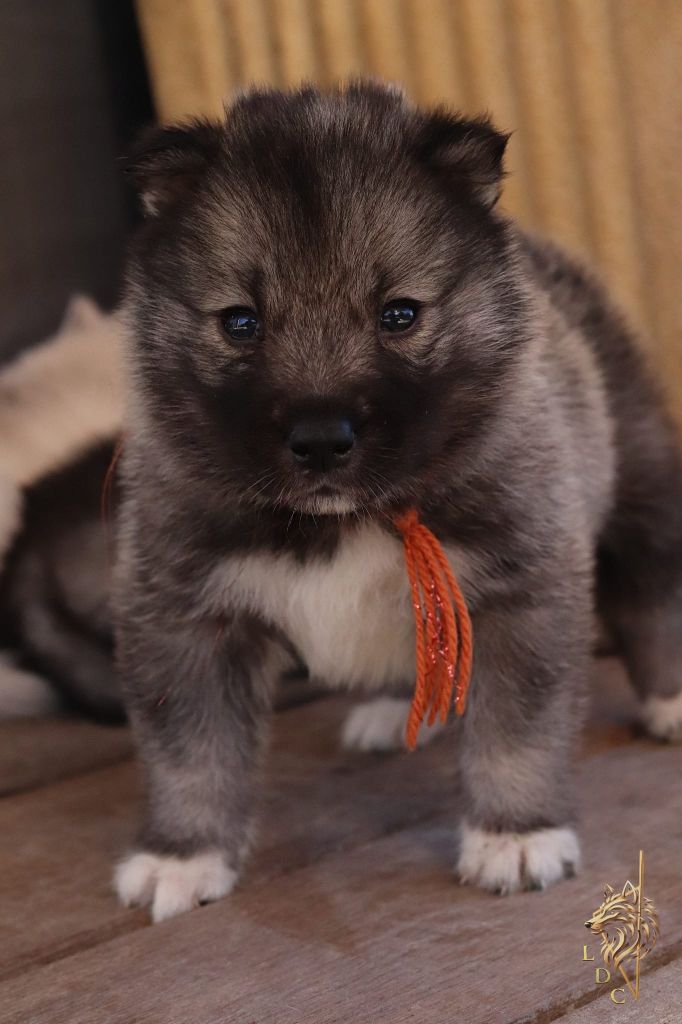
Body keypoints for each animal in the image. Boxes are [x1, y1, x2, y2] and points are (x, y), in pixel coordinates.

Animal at [112, 83, 679, 925]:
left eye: (400, 314)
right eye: (240, 322)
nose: (320, 440)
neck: (348, 518)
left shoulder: (522, 587)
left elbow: (517, 730)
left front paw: (515, 834)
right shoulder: (183, 617)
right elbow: (191, 751)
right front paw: (182, 854)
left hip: (641, 481)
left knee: (654, 590)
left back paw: (672, 698)